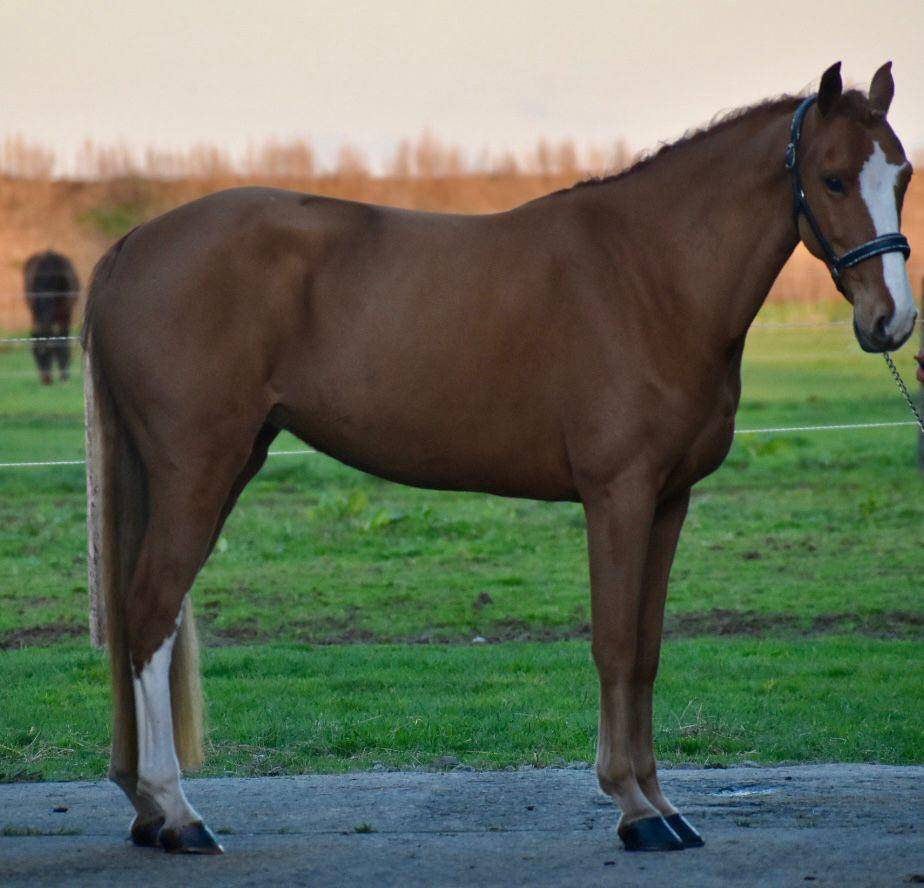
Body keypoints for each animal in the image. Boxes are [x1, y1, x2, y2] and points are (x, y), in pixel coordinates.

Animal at [23, 250, 79, 385]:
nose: (46, 381)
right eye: (34, 354)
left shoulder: (66, 314)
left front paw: (64, 376)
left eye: (47, 353)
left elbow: (62, 341)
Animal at [81, 62, 916, 854]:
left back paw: (145, 809)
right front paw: (633, 808)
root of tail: (132, 246)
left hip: (213, 467)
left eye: (902, 175)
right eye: (833, 177)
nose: (892, 320)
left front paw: (664, 804)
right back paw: (179, 813)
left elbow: (646, 652)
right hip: (199, 469)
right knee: (150, 610)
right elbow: (614, 645)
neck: (648, 276)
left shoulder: (667, 501)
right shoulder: (618, 495)